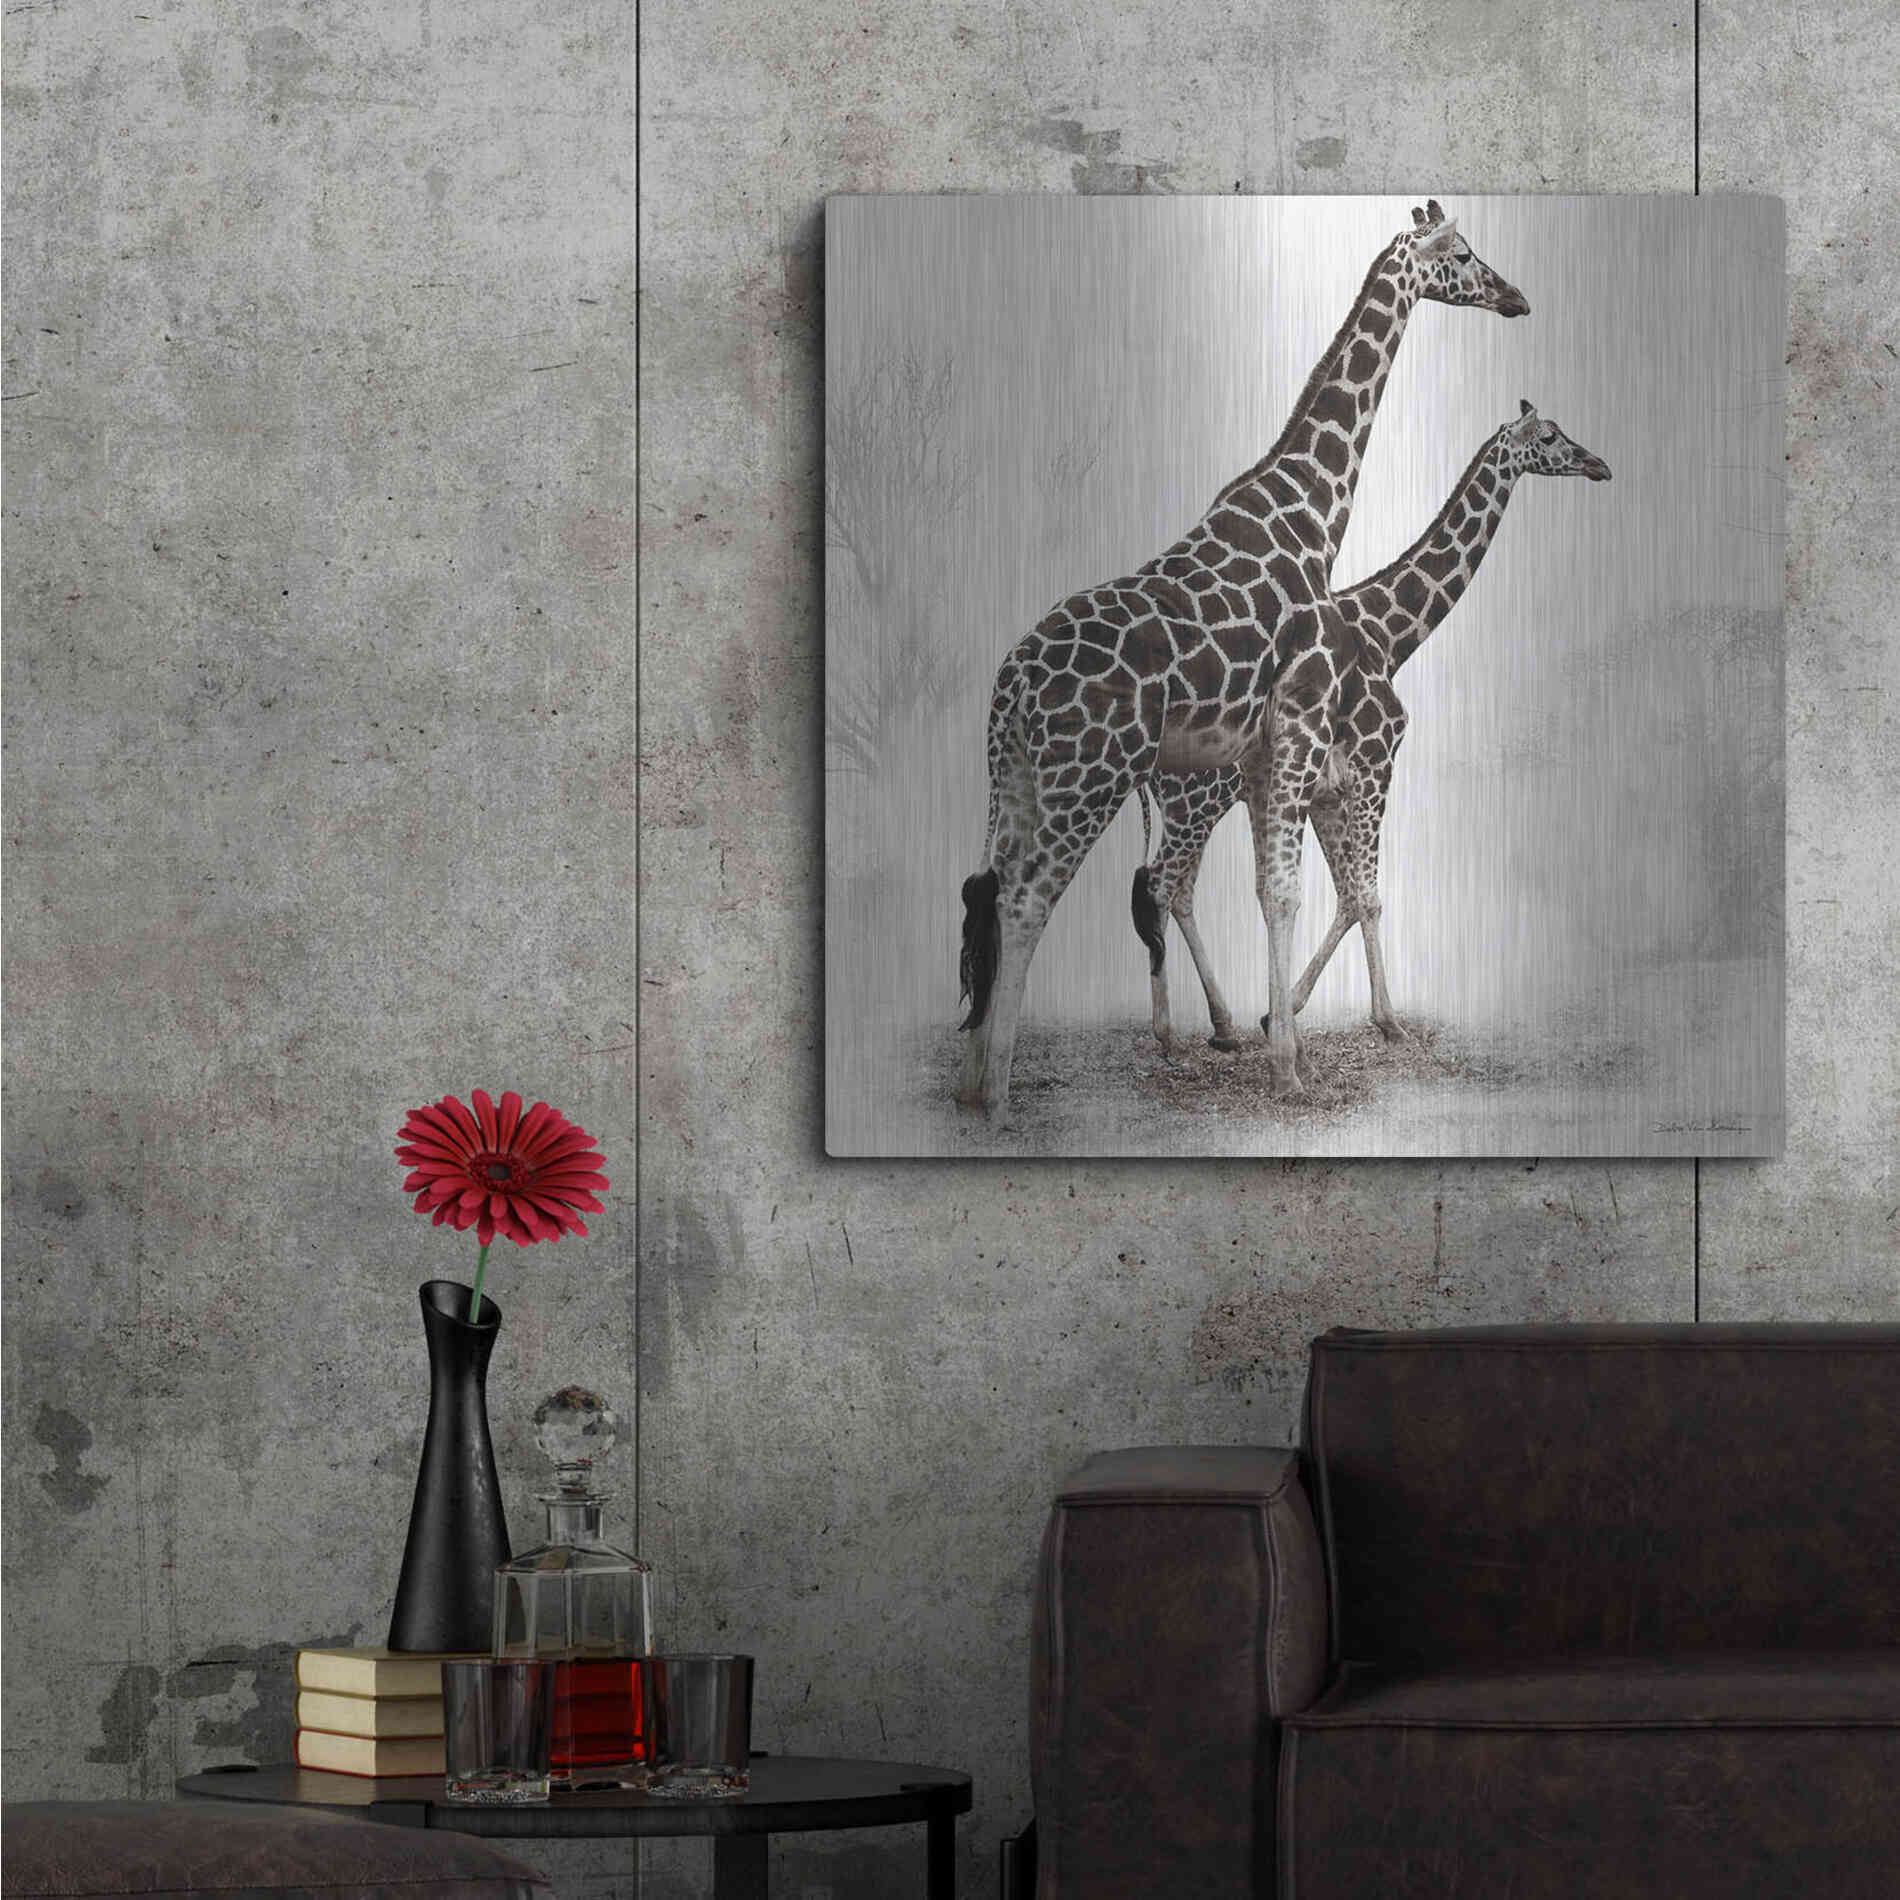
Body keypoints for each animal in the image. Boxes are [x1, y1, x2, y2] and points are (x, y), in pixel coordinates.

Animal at [955, 202, 1529, 1116]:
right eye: (1466, 254)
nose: (1516, 299)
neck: (1311, 512)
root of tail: (1010, 686)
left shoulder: (1271, 752)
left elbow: (1279, 889)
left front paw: (1279, 1042)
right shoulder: (1303, 727)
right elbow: (1297, 889)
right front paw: (1290, 1062)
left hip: (1017, 777)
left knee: (996, 886)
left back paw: (980, 1076)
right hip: (1090, 779)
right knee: (1031, 899)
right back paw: (1004, 1093)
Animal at [1130, 400, 1613, 1052]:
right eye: (1550, 436)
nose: (1598, 464)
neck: (1392, 635)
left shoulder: (1329, 790)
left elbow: (1347, 896)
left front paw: (1282, 1013)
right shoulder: (1375, 764)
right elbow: (1368, 897)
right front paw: (1387, 1020)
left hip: (1198, 806)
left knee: (1178, 889)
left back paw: (1224, 1025)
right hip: (1196, 802)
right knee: (1161, 885)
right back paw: (1168, 1031)